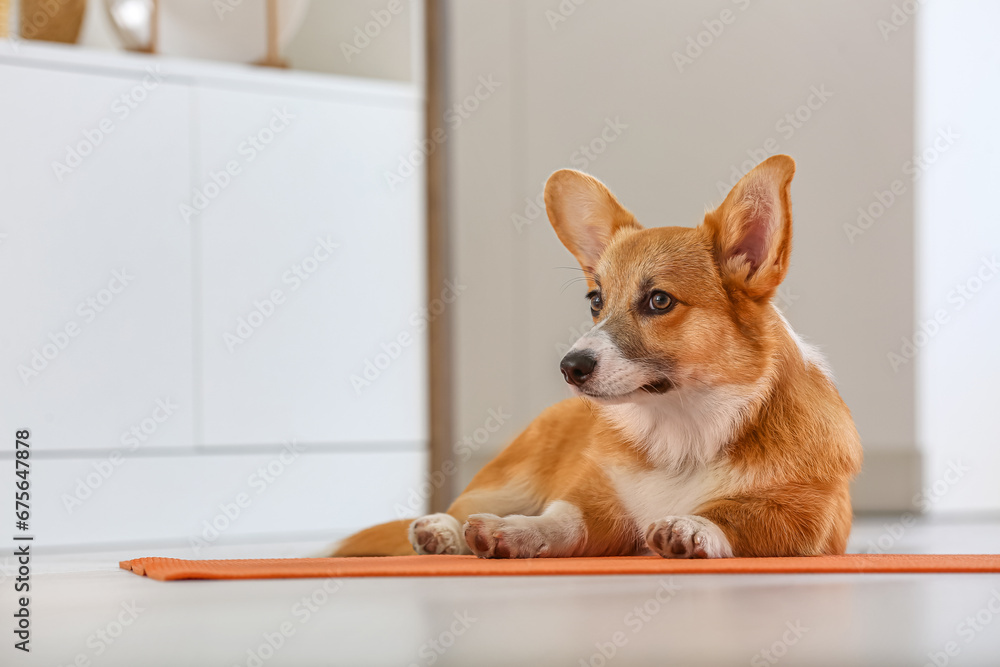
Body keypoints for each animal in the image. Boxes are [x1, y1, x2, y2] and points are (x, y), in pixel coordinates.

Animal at [332, 155, 864, 560]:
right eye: (595, 300)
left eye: (659, 301)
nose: (570, 368)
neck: (684, 431)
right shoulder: (595, 494)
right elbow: (562, 518)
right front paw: (515, 533)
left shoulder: (812, 519)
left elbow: (742, 517)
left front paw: (693, 529)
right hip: (510, 480)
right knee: (463, 507)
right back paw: (440, 532)